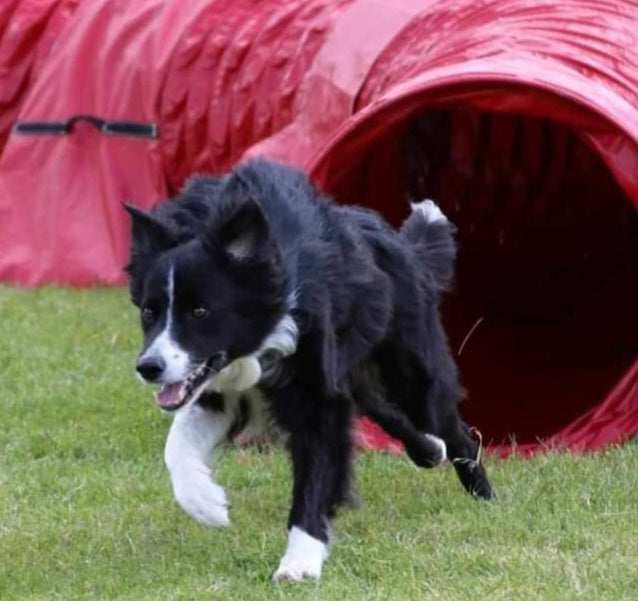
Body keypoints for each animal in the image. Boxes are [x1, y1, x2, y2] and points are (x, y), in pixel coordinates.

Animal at [125, 158, 496, 576]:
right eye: (149, 312)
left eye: (200, 311)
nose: (148, 367)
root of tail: (401, 245)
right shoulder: (217, 389)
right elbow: (176, 446)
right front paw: (207, 503)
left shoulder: (315, 394)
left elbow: (315, 474)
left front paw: (300, 561)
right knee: (382, 410)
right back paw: (429, 450)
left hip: (411, 368)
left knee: (452, 426)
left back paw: (484, 495)